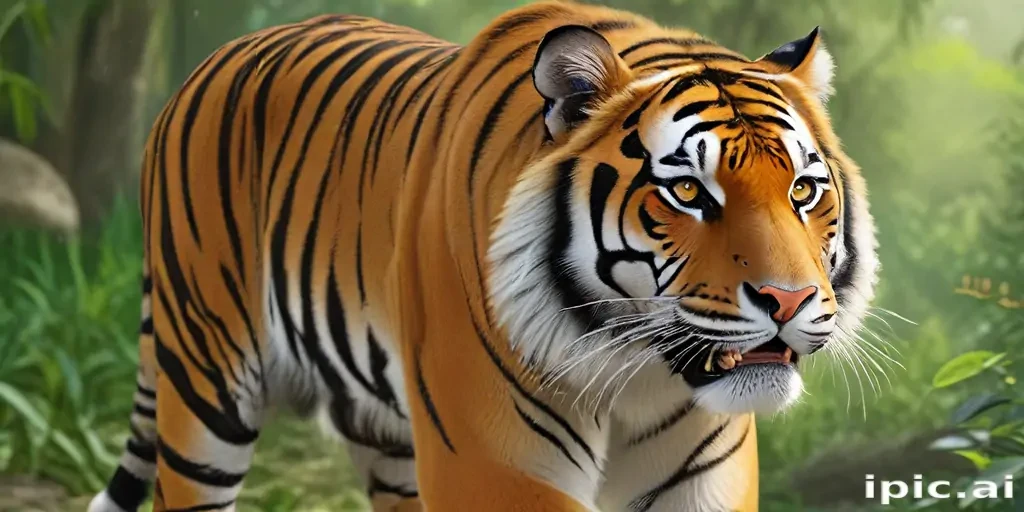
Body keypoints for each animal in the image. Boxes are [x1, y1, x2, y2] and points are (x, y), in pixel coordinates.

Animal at [88, 1, 879, 511]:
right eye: (687, 190)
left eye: (803, 190)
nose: (788, 301)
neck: (635, 376)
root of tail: (205, 67)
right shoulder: (495, 464)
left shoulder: (701, 470)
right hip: (205, 388)